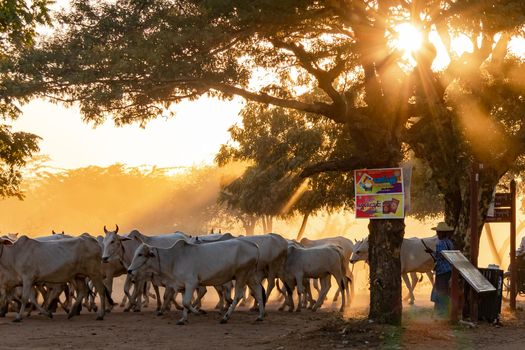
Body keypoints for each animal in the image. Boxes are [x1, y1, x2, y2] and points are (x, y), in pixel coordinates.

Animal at [127, 238, 266, 326]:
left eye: (140, 254)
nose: (129, 270)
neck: (173, 259)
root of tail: (254, 245)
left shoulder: (191, 283)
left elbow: (186, 303)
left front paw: (199, 312)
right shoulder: (182, 286)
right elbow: (184, 303)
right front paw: (183, 319)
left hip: (242, 274)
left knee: (238, 296)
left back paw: (225, 317)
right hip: (250, 275)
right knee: (258, 292)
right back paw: (260, 316)